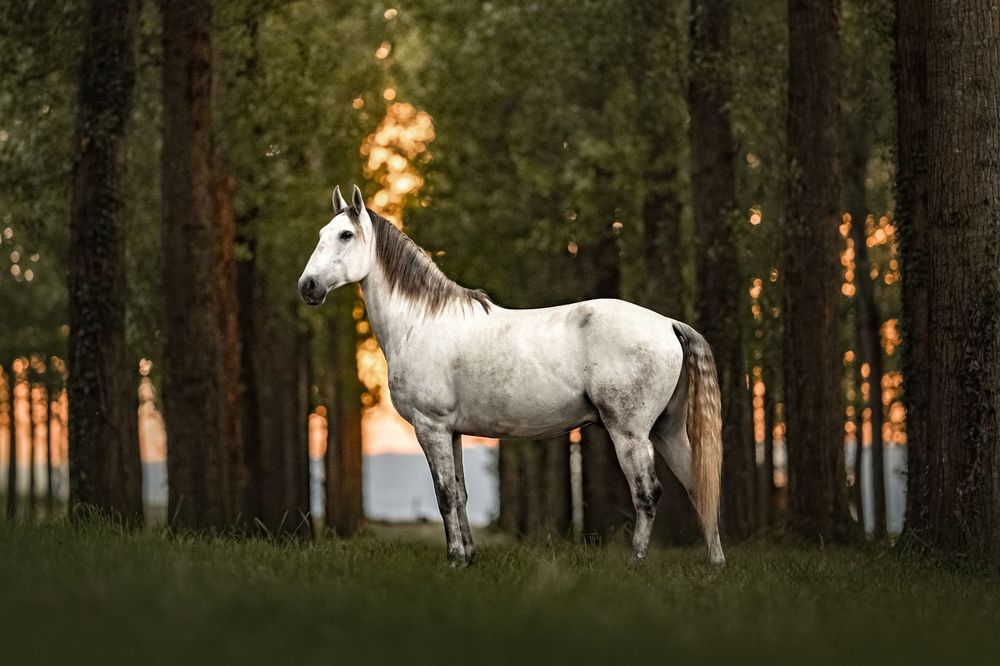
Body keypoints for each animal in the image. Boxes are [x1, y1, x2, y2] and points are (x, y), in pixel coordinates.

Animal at [299, 185, 725, 569]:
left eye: (346, 235)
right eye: (320, 234)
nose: (308, 287)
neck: (419, 323)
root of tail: (668, 323)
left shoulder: (431, 427)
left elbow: (444, 495)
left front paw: (454, 560)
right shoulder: (453, 431)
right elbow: (460, 493)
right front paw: (469, 557)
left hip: (630, 433)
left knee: (648, 493)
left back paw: (635, 563)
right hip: (668, 429)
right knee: (698, 485)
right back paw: (715, 564)